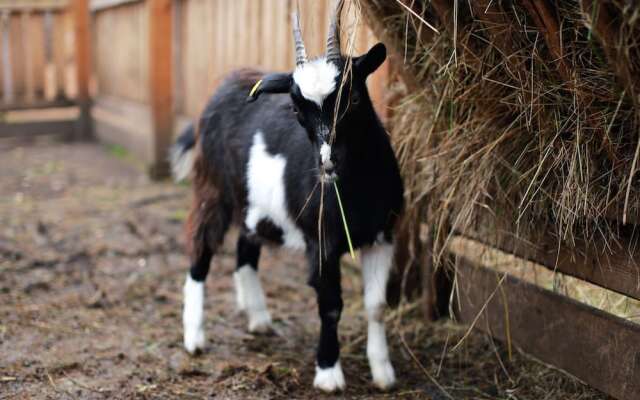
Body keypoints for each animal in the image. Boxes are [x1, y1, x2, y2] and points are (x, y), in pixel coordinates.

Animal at [170, 5, 400, 394]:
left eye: (353, 97)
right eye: (296, 110)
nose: (327, 164)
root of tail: (227, 83)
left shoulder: (382, 238)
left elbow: (377, 306)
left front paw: (383, 373)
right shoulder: (321, 242)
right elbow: (331, 305)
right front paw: (328, 373)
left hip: (254, 206)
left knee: (246, 250)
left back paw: (259, 318)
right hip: (212, 190)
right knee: (199, 251)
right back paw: (195, 338)